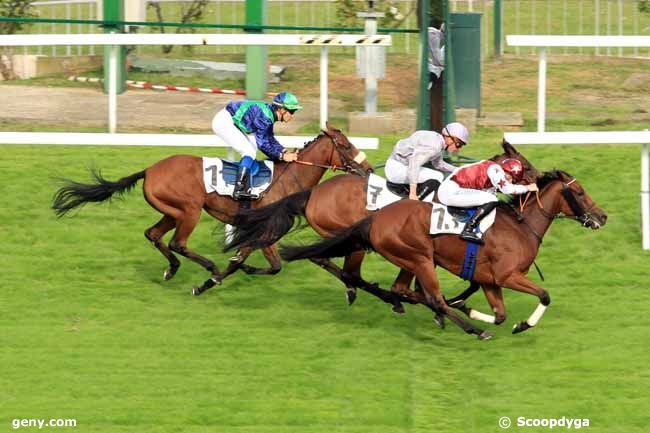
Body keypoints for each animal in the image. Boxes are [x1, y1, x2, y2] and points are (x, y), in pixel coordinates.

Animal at [52, 121, 370, 292]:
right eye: (345, 145)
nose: (366, 168)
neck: (288, 178)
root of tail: (150, 170)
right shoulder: (263, 230)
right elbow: (244, 262)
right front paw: (210, 280)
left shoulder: (264, 232)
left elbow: (272, 265)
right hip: (189, 210)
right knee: (178, 242)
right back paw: (205, 265)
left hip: (171, 212)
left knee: (153, 235)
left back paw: (172, 269)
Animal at [220, 142, 540, 314]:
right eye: (524, 164)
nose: (539, 177)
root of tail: (314, 193)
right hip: (350, 236)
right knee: (335, 264)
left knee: (328, 261)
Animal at [274, 170, 604, 340]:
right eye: (581, 192)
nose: (602, 216)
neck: (521, 226)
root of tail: (376, 218)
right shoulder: (507, 276)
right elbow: (544, 295)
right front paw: (522, 324)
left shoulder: (489, 280)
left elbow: (500, 314)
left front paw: (471, 308)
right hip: (419, 258)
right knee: (425, 295)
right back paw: (471, 328)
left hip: (410, 259)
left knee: (399, 288)